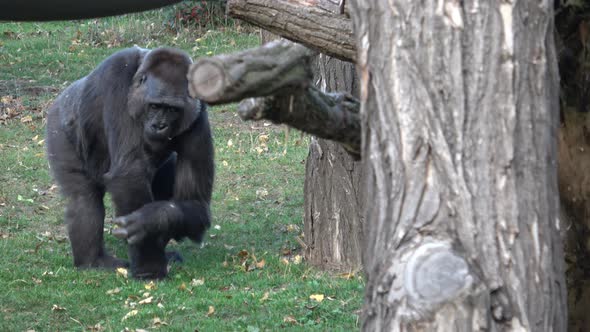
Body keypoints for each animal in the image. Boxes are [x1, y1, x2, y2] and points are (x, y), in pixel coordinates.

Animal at [45, 46, 215, 280]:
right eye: (154, 106)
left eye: (172, 110)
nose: (159, 126)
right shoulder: (115, 77)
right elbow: (128, 174)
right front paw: (149, 267)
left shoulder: (198, 112)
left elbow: (194, 202)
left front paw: (151, 222)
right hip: (59, 128)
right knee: (84, 199)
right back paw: (92, 261)